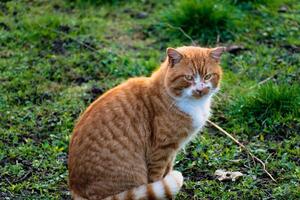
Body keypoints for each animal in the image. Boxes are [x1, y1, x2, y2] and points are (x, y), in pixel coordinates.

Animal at [69, 46, 224, 199]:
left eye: (208, 76)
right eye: (189, 77)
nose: (200, 89)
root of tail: (76, 190)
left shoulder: (172, 150)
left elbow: (168, 170)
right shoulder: (161, 149)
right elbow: (157, 177)